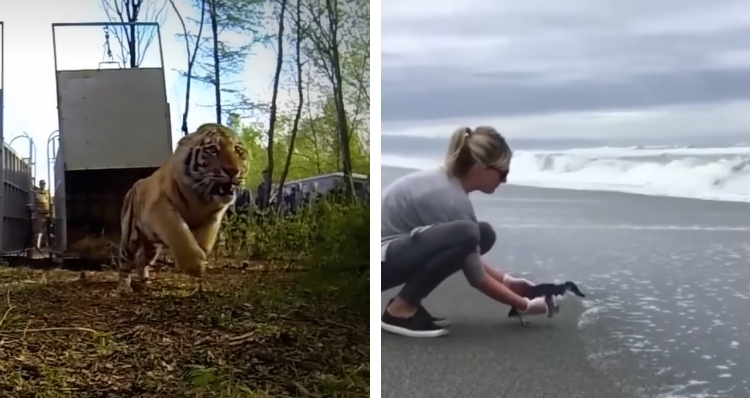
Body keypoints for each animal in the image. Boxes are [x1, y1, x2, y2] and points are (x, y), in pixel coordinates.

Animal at [115, 123, 247, 294]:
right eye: (213, 150)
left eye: (239, 151)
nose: (233, 171)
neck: (201, 198)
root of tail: (132, 188)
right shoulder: (160, 206)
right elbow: (179, 232)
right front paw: (195, 266)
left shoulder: (214, 215)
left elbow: (206, 238)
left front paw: (202, 253)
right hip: (130, 239)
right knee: (125, 262)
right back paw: (124, 287)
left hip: (152, 248)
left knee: (142, 262)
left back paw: (144, 281)